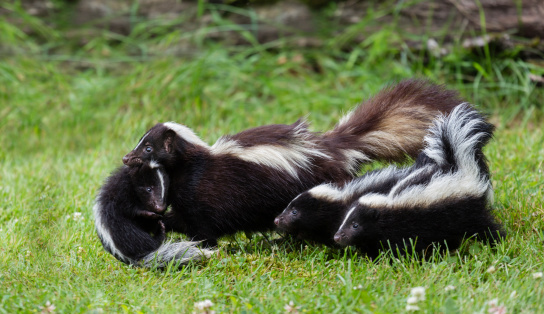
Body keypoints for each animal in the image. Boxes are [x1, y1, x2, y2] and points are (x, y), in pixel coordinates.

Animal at [121, 79, 462, 247]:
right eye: (140, 142)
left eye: (148, 147)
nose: (126, 158)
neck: (193, 163)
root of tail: (335, 148)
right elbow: (183, 218)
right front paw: (161, 222)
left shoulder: (204, 192)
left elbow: (202, 224)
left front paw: (206, 246)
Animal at [332, 105, 506, 258]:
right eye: (344, 221)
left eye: (355, 225)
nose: (337, 237)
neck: (388, 205)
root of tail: (459, 168)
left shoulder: (406, 227)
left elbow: (404, 247)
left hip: (468, 211)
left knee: (484, 226)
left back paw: (498, 241)